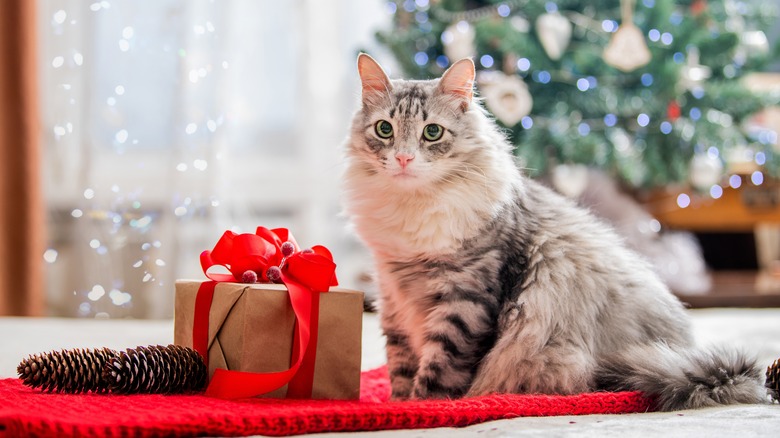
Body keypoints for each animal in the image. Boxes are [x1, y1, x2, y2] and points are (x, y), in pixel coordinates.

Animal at [342, 54, 768, 410]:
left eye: (432, 132)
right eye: (385, 129)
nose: (403, 158)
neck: (411, 212)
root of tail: (682, 349)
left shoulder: (465, 299)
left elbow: (440, 367)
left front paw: (420, 408)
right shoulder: (393, 295)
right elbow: (400, 365)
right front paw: (397, 404)